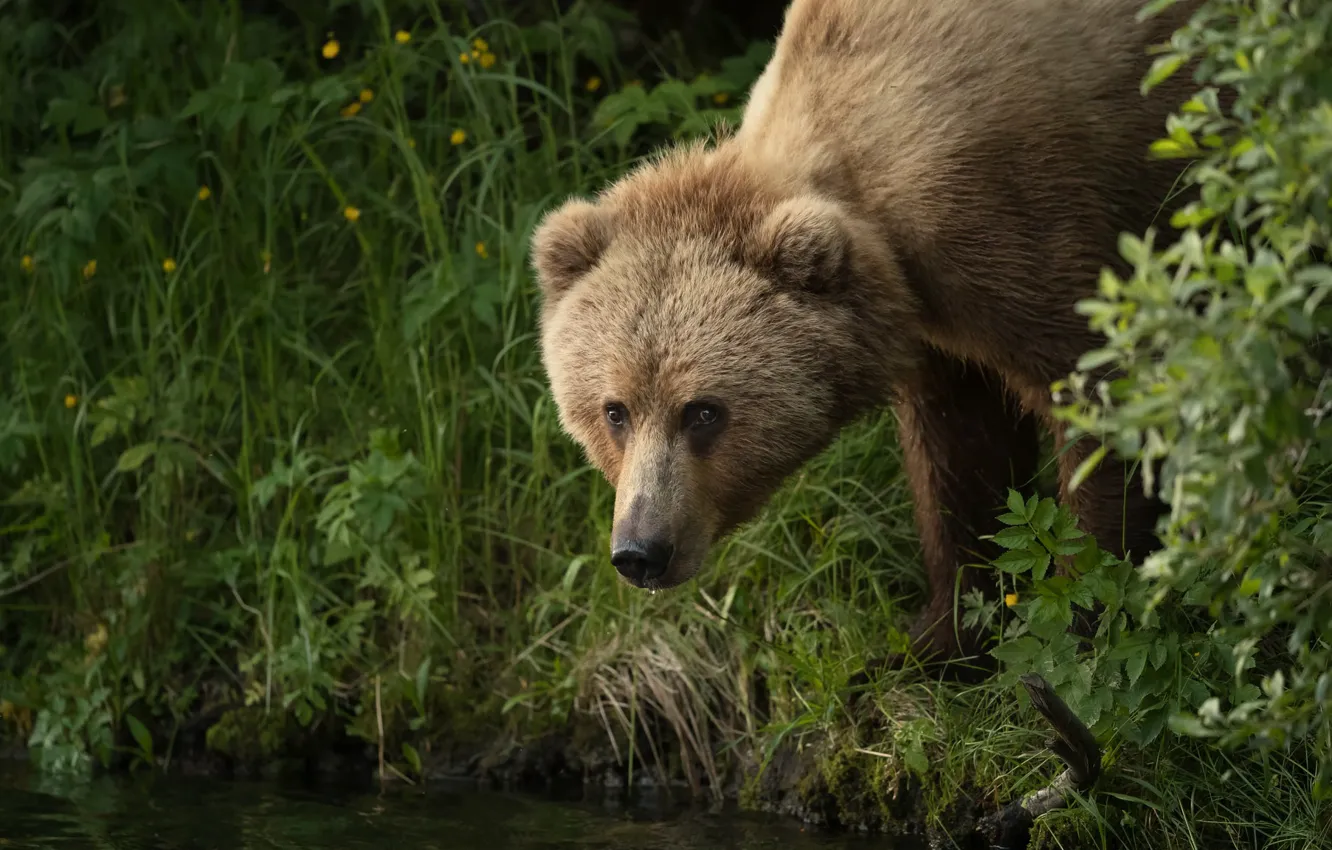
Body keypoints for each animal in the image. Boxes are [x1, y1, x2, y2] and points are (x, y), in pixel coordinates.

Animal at [529, 0, 1206, 668]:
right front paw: (941, 637)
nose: (641, 550)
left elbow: (1099, 392)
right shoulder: (936, 321)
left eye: (703, 411)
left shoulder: (1029, 223)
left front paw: (1082, 623)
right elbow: (960, 452)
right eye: (614, 411)